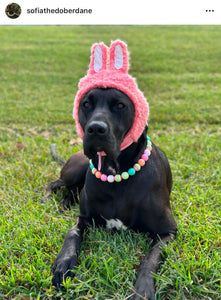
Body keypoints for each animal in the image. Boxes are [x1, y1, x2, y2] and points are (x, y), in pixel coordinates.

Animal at [49, 87, 177, 300]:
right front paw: (63, 262)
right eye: (86, 104)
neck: (116, 174)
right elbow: (72, 233)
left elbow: (149, 259)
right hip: (77, 168)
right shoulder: (84, 219)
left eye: (120, 105)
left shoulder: (168, 232)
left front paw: (142, 289)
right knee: (55, 183)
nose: (95, 129)